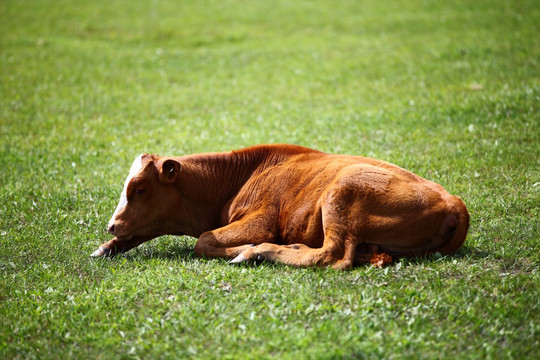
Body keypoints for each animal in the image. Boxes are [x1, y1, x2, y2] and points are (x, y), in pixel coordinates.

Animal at [90, 145, 466, 268]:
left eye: (139, 189)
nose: (111, 225)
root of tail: (454, 201)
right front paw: (107, 246)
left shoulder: (262, 221)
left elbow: (205, 240)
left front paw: (244, 249)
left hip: (341, 194)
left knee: (332, 256)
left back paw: (257, 253)